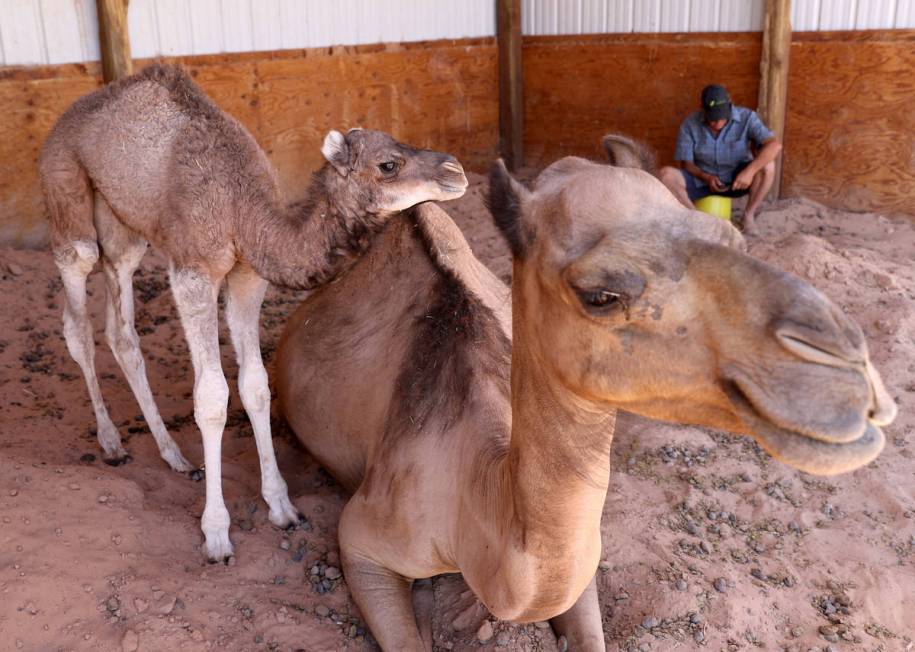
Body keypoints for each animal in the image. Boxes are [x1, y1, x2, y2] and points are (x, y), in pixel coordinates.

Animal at [37, 63, 466, 560]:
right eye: (389, 164)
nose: (456, 171)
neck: (243, 211)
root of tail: (70, 113)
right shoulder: (194, 272)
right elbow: (211, 397)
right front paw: (217, 534)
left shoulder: (247, 275)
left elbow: (255, 384)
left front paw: (282, 507)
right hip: (66, 187)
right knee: (78, 312)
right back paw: (110, 443)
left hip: (123, 224)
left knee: (121, 326)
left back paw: (174, 456)